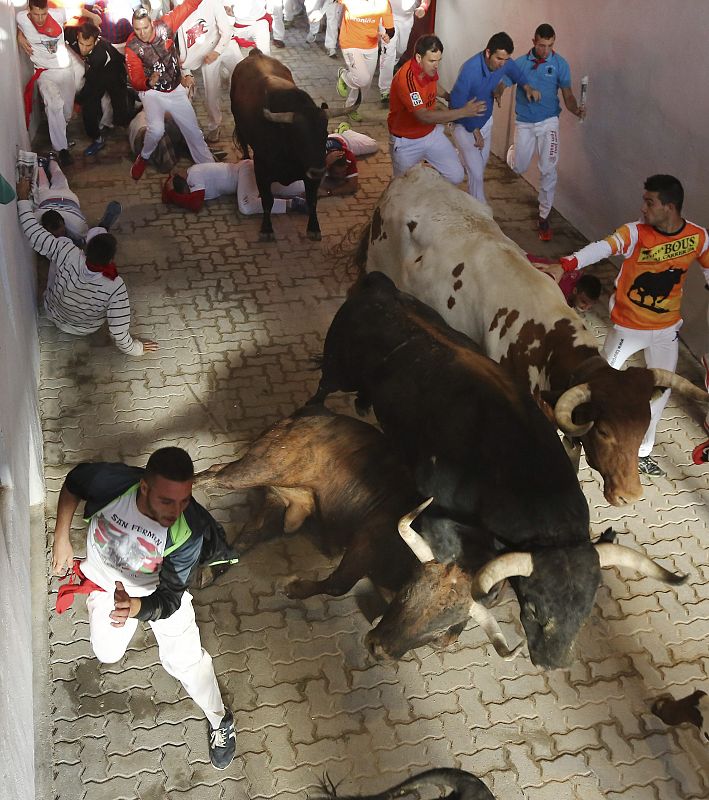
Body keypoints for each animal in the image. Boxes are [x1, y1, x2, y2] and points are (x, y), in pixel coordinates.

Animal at [230, 46, 356, 239]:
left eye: (325, 134)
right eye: (298, 137)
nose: (319, 170)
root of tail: (255, 54)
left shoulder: (311, 176)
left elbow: (312, 201)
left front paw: (314, 228)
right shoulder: (261, 171)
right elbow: (267, 201)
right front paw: (266, 229)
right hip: (238, 121)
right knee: (243, 143)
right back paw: (245, 157)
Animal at [310, 276, 684, 668]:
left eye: (584, 612)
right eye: (533, 608)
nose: (552, 661)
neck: (523, 477)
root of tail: (378, 285)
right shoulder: (436, 514)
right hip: (335, 370)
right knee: (318, 393)